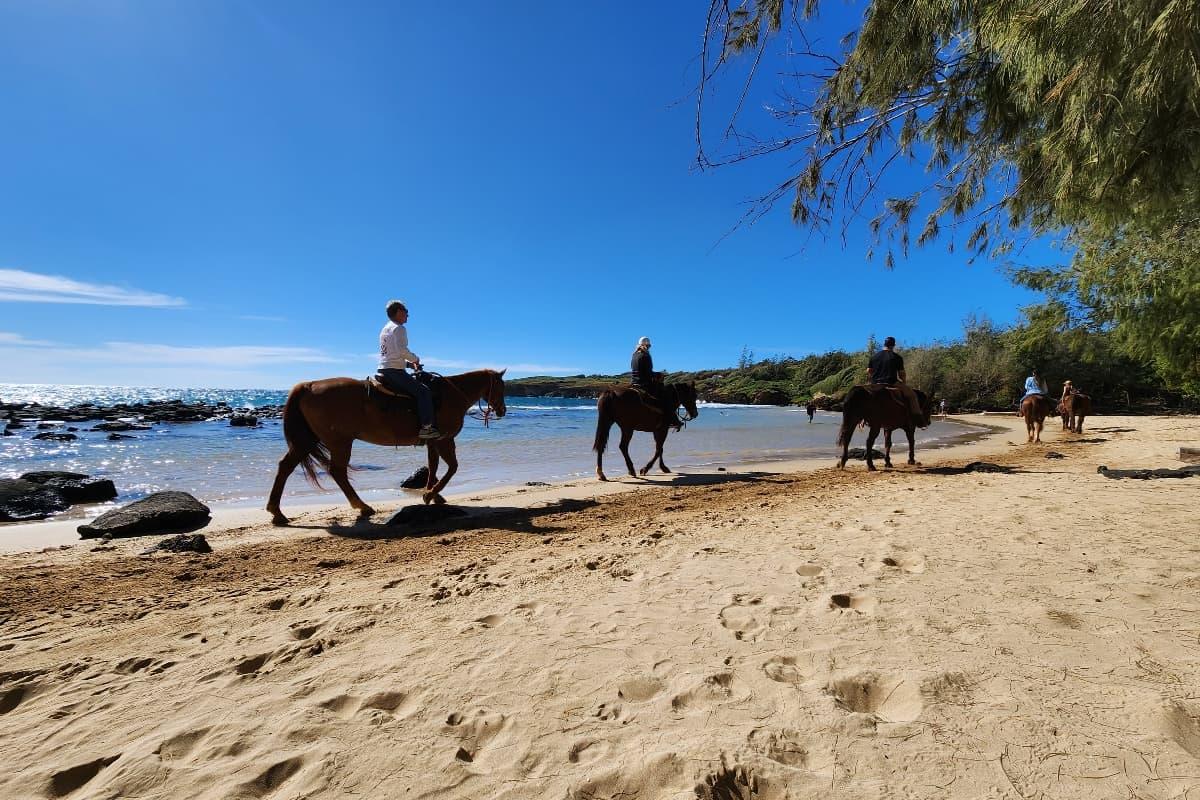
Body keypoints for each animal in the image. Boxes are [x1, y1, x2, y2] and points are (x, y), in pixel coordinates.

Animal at [265, 369, 504, 525]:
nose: (502, 410)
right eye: (501, 386)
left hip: (308, 440)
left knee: (286, 466)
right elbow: (452, 467)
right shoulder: (444, 440)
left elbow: (433, 466)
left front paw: (432, 494)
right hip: (338, 442)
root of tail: (308, 385)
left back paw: (277, 512)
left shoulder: (433, 442)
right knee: (337, 472)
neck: (451, 395)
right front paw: (430, 495)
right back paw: (362, 506)